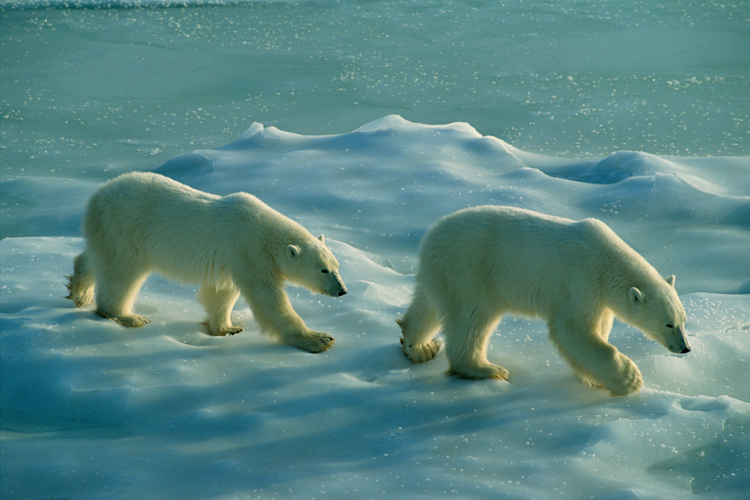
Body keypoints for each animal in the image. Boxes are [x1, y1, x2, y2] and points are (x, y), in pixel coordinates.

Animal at [66, 171, 347, 353]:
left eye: (337, 267)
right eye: (323, 270)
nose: (342, 290)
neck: (266, 233)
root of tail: (97, 196)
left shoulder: (233, 258)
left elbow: (222, 292)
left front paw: (227, 328)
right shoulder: (248, 250)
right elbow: (268, 298)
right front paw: (319, 339)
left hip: (107, 230)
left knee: (97, 258)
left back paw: (79, 291)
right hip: (125, 229)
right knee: (121, 273)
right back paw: (127, 316)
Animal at [397, 206, 691, 396]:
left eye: (683, 320)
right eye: (668, 324)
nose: (685, 348)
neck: (606, 260)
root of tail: (431, 236)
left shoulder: (600, 298)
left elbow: (597, 329)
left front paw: (594, 377)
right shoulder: (580, 281)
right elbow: (573, 330)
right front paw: (629, 379)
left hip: (442, 273)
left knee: (428, 306)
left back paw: (419, 347)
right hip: (469, 271)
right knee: (470, 318)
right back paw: (485, 368)